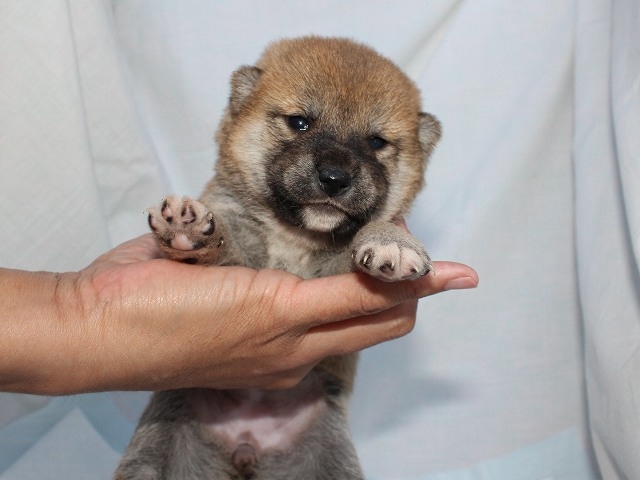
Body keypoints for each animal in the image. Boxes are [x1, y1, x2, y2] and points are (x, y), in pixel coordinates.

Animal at [115, 36, 441, 480]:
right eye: (299, 123)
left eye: (376, 142)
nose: (335, 179)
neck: (293, 234)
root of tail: (247, 442)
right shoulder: (243, 247)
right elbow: (228, 244)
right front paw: (190, 231)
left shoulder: (331, 267)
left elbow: (365, 235)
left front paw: (393, 241)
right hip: (158, 444)